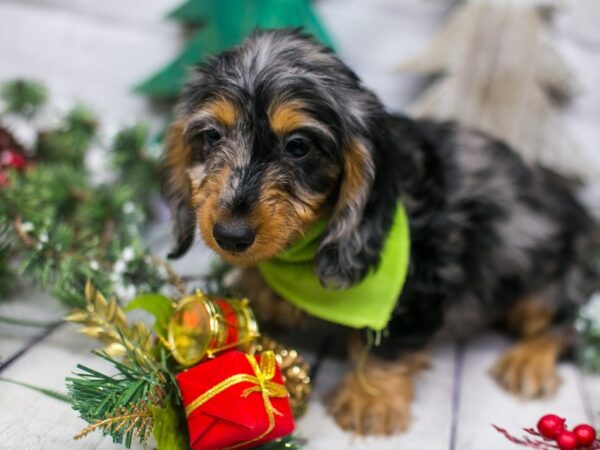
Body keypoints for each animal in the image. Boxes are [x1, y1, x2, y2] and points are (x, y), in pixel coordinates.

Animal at [162, 29, 596, 436]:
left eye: (298, 146)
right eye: (212, 136)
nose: (230, 235)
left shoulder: (419, 282)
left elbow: (385, 344)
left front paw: (370, 398)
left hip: (545, 278)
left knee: (565, 326)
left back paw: (529, 360)